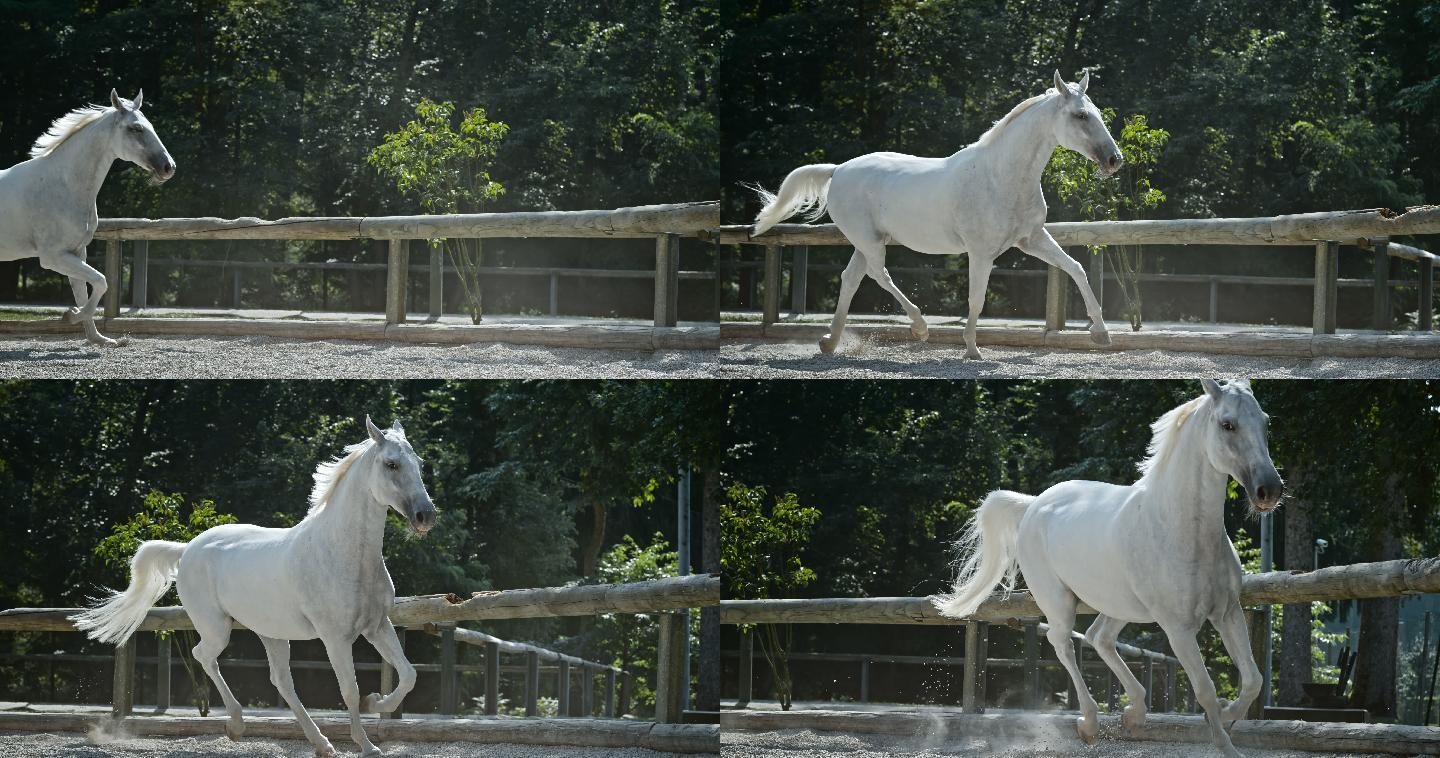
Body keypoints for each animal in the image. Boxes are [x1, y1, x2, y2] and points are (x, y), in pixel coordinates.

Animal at [0, 90, 177, 347]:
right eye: (136, 128)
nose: (168, 167)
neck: (63, 185)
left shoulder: (76, 253)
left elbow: (85, 291)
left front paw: (100, 338)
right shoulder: (54, 257)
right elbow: (101, 281)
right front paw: (71, 316)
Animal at [74, 417, 432, 755]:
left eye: (419, 462)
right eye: (391, 464)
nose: (425, 515)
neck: (343, 553)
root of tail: (187, 549)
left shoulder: (378, 626)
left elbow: (409, 674)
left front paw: (377, 702)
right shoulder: (336, 638)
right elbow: (350, 691)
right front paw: (368, 744)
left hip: (271, 633)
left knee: (281, 681)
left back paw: (321, 744)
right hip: (217, 628)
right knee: (204, 656)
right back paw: (236, 725)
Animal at [754, 71, 1123, 360]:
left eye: (1096, 112)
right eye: (1080, 116)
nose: (1114, 159)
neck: (1001, 176)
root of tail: (838, 169)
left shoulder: (1032, 240)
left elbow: (1075, 269)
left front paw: (1101, 334)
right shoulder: (981, 252)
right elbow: (976, 298)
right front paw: (972, 349)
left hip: (865, 242)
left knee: (852, 278)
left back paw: (830, 342)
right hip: (869, 241)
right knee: (879, 274)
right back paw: (919, 328)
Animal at [933, 380, 1284, 758]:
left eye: (1266, 422)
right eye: (1227, 424)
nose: (1269, 490)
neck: (1181, 529)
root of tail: (1034, 505)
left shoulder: (1227, 612)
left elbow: (1253, 680)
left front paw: (1229, 714)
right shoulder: (1178, 629)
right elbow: (1205, 689)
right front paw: (1224, 740)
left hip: (1119, 605)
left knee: (1098, 637)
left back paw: (1135, 713)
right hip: (1059, 602)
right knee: (1063, 642)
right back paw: (1089, 723)